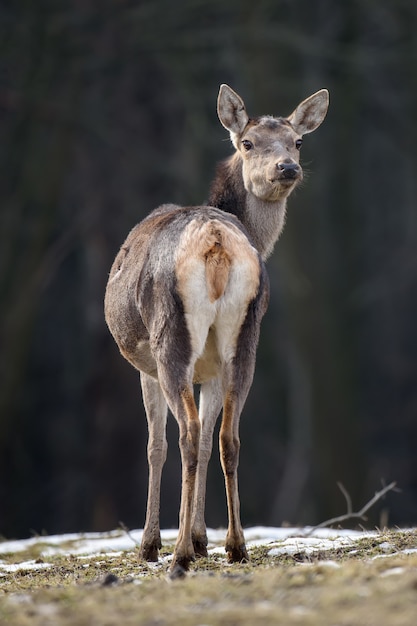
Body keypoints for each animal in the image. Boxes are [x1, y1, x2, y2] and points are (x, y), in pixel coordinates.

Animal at [104, 83, 328, 576]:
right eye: (248, 143)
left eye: (297, 141)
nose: (288, 167)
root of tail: (216, 241)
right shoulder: (210, 369)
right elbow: (210, 440)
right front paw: (203, 537)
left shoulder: (145, 367)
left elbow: (156, 446)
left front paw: (156, 543)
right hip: (245, 337)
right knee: (228, 437)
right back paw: (235, 545)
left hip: (170, 338)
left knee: (185, 435)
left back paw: (180, 555)